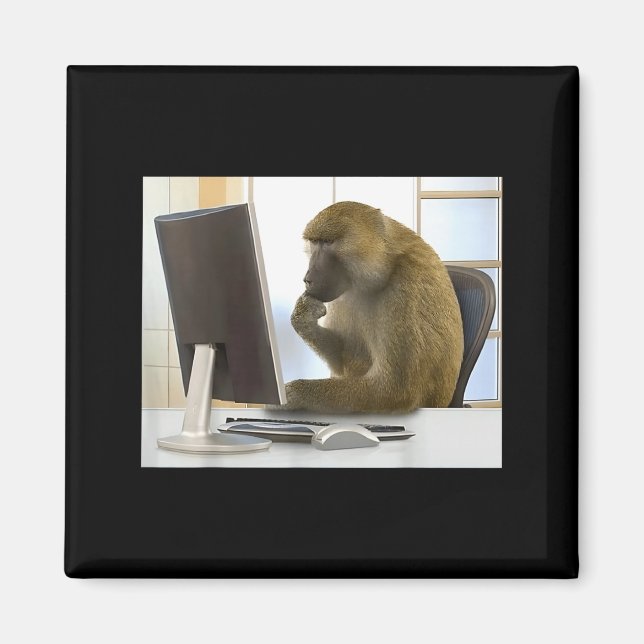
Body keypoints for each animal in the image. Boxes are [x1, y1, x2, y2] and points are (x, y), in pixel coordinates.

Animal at [281, 200, 464, 413]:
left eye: (328, 242)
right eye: (314, 242)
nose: (308, 280)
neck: (386, 264)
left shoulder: (406, 285)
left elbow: (395, 391)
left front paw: (293, 395)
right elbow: (342, 360)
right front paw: (304, 318)